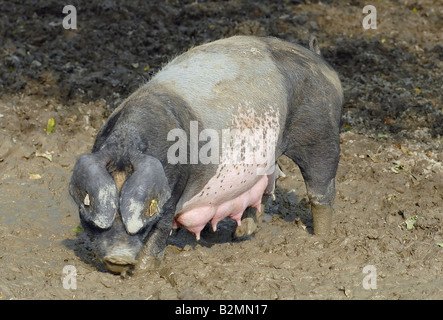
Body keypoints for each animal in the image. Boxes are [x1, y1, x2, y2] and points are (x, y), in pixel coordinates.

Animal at [69, 35, 346, 276]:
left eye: (144, 210)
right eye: (92, 205)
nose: (119, 258)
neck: (125, 146)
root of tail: (319, 60)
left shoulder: (173, 189)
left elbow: (160, 232)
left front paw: (143, 273)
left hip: (321, 133)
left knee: (321, 189)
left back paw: (319, 239)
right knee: (268, 185)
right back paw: (241, 235)